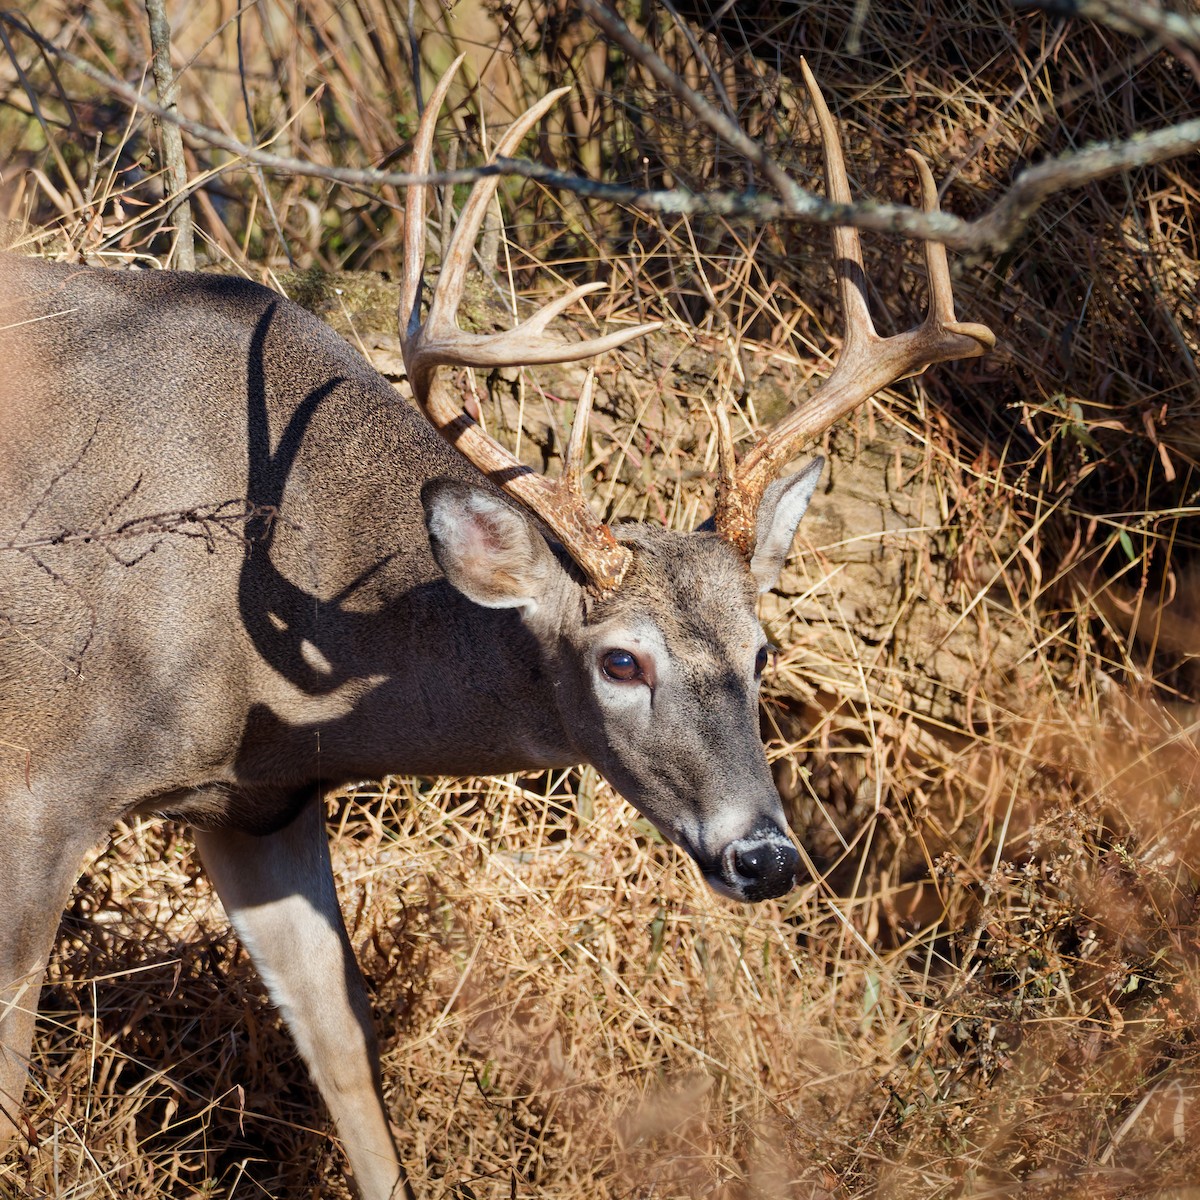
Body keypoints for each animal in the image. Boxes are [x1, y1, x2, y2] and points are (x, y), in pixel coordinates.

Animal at [0, 57, 993, 1200]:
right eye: (622, 660)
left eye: (762, 653)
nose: (767, 858)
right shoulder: (39, 783)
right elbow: (11, 1064)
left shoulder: (259, 804)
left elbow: (344, 1042)